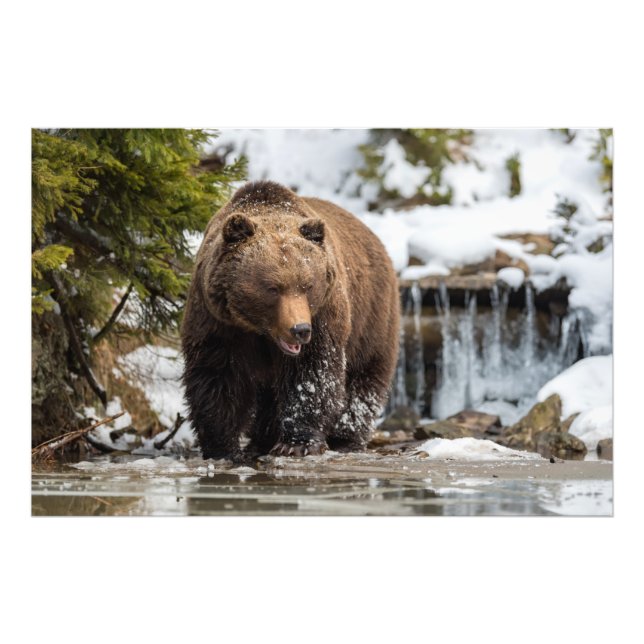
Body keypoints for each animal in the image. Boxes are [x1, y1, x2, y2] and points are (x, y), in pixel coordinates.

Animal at [181, 180, 400, 461]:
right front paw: (222, 447)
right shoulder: (218, 321)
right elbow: (218, 375)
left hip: (372, 316)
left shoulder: (323, 316)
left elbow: (312, 374)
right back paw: (261, 440)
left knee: (364, 377)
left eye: (307, 285)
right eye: (273, 288)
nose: (300, 329)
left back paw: (345, 438)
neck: (260, 330)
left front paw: (297, 443)